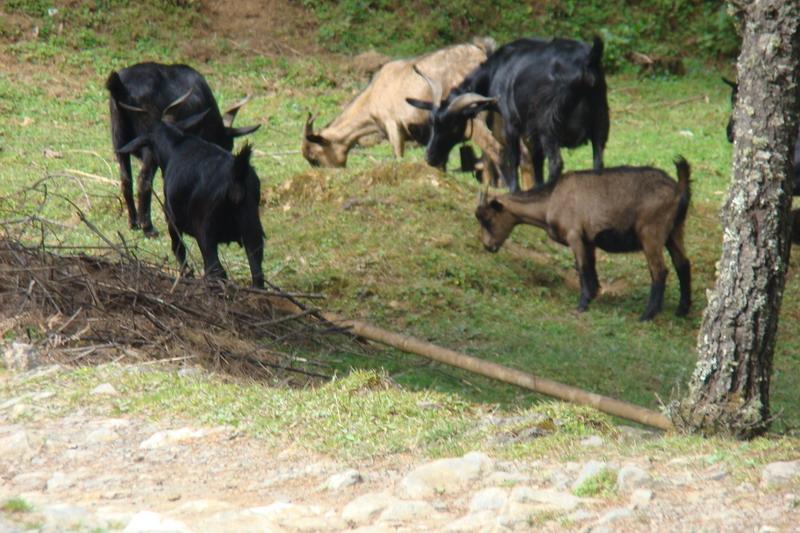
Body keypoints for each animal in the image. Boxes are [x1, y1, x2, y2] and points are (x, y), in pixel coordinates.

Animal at [106, 62, 260, 235]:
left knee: (126, 179)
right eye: (228, 144)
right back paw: (148, 228)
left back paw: (133, 223)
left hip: (118, 140)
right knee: (143, 181)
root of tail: (120, 86)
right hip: (149, 145)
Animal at [115, 93, 266, 288]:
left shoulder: (171, 219)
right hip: (252, 228)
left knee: (215, 269)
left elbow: (178, 249)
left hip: (206, 232)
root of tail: (236, 176)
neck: (176, 144)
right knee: (257, 272)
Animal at [410, 35, 608, 189]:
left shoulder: (512, 123)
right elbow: (535, 161)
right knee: (598, 162)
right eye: (432, 123)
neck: (496, 70)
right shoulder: (531, 133)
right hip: (600, 120)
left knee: (556, 163)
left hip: (549, 125)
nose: (429, 157)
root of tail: (587, 63)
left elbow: (512, 159)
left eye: (452, 125)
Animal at [476, 156, 692, 318]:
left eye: (488, 219)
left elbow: (581, 267)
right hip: (675, 231)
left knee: (659, 270)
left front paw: (582, 304)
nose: (488, 246)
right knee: (683, 264)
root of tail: (679, 188)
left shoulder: (575, 236)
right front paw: (594, 294)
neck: (551, 200)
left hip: (651, 233)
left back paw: (648, 315)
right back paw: (682, 310)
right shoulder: (589, 240)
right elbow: (591, 266)